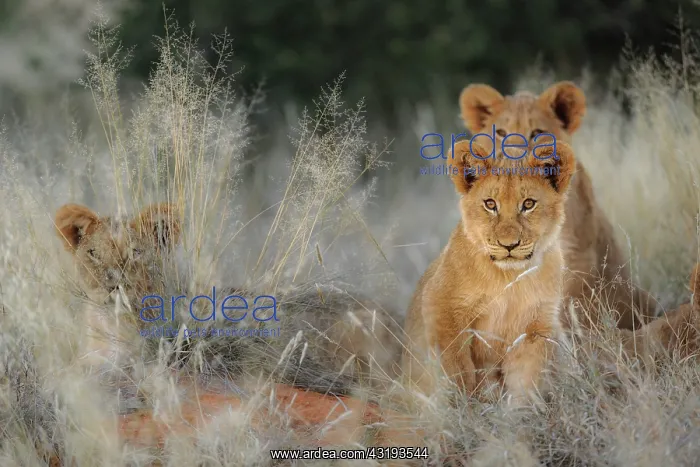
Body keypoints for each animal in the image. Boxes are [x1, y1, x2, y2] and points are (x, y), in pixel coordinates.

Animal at [401, 140, 577, 404]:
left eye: (528, 204)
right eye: (490, 204)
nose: (509, 245)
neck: (508, 278)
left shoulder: (536, 327)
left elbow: (526, 380)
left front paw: (521, 411)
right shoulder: (441, 308)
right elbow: (457, 370)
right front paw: (463, 408)